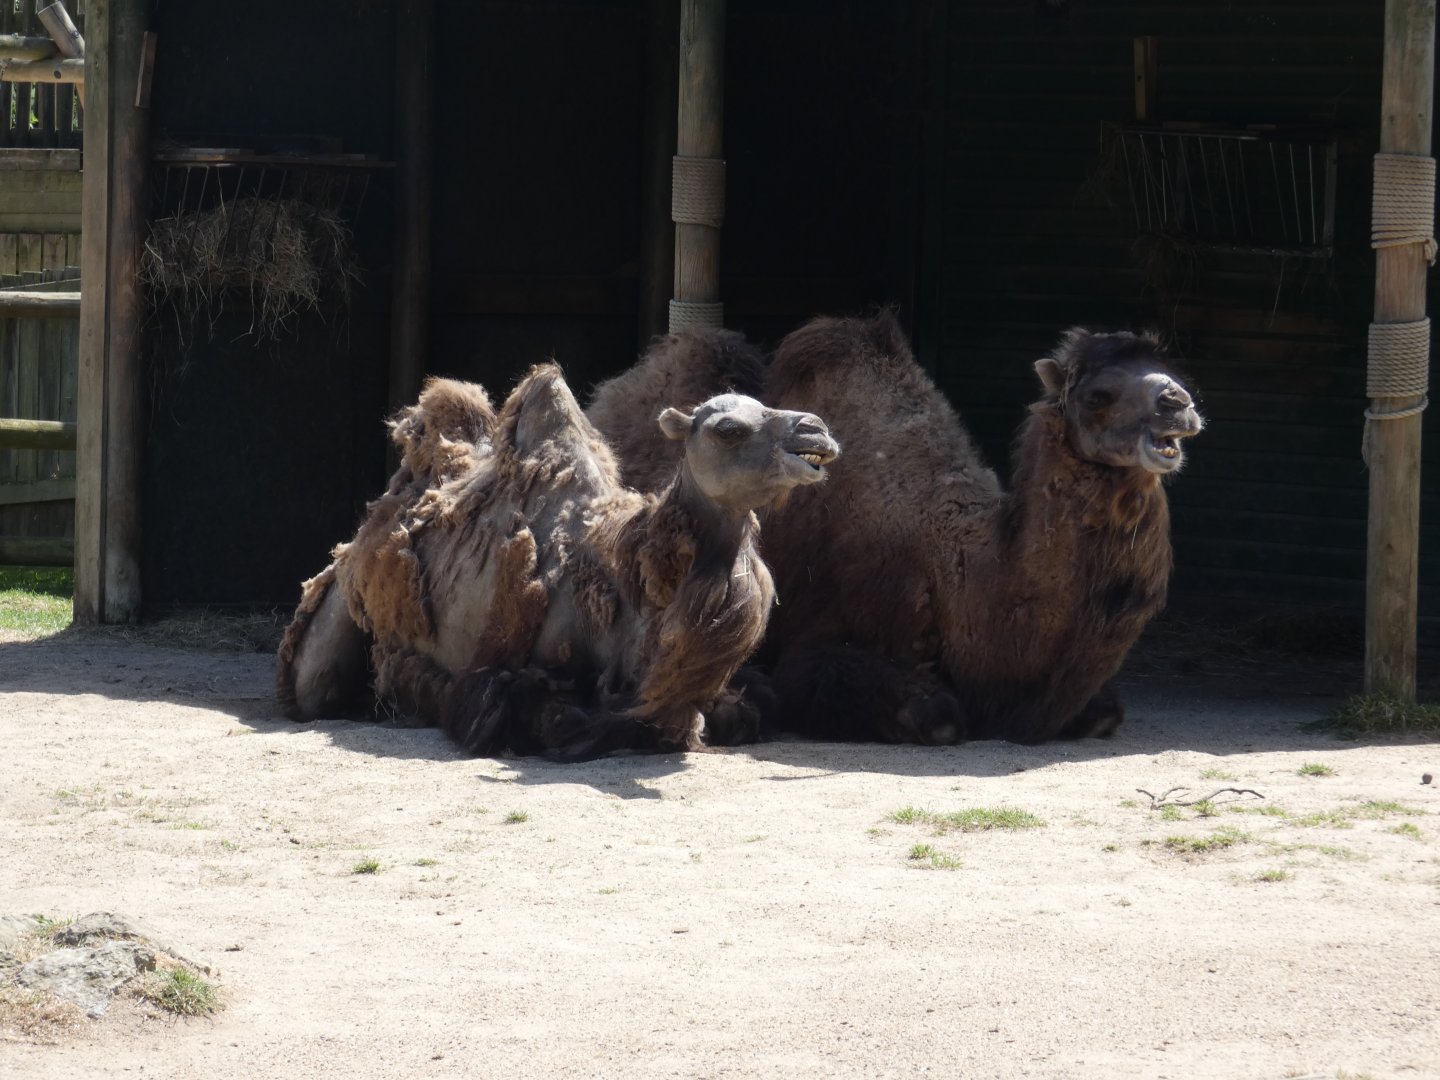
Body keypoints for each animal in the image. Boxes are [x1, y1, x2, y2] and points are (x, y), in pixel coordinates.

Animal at [275, 363, 838, 759]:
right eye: (729, 429)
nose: (815, 430)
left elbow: (744, 712)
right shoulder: (512, 671)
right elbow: (552, 718)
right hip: (332, 626)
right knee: (315, 685)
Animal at [586, 312, 1203, 745]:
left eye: (1178, 376)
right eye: (1098, 395)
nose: (1178, 405)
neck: (960, 570)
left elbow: (1106, 711)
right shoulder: (820, 646)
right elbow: (937, 715)